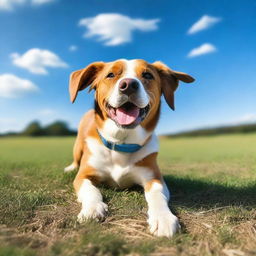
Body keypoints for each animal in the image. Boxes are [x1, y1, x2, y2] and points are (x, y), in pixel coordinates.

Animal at [65, 59, 195, 237]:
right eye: (110, 75)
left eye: (147, 75)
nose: (128, 85)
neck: (121, 142)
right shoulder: (83, 176)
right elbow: (90, 190)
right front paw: (92, 208)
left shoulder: (154, 178)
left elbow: (157, 194)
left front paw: (163, 218)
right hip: (78, 146)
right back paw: (70, 168)